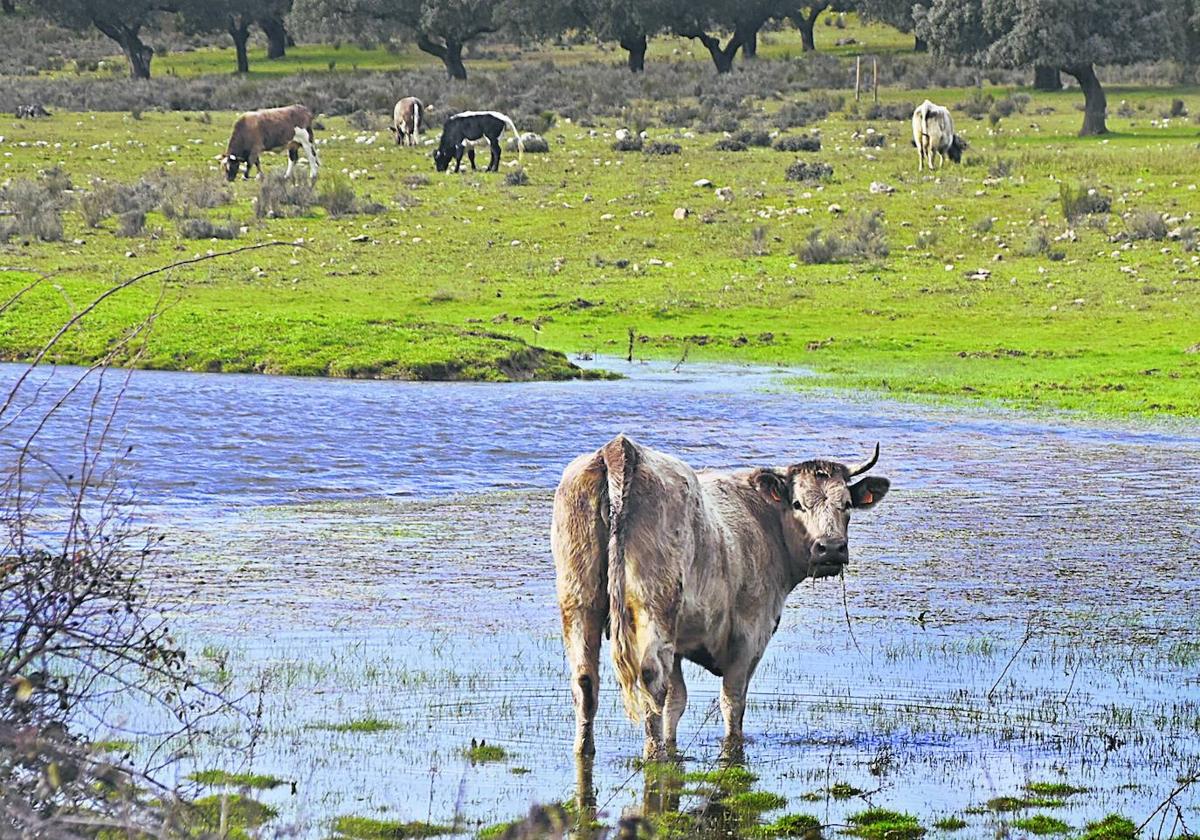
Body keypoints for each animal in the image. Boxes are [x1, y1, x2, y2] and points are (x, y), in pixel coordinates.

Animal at [552, 436, 892, 758]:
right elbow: (732, 701)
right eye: (797, 503)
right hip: (654, 605)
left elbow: (677, 701)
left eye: (846, 504)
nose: (831, 548)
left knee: (585, 682)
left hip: (579, 599)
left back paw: (584, 749)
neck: (765, 522)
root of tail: (620, 448)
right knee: (651, 680)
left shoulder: (680, 644)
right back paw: (655, 755)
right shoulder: (749, 633)